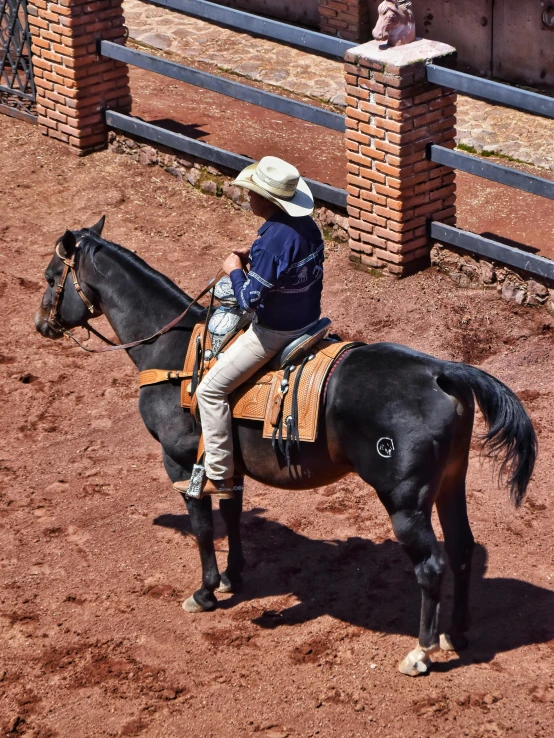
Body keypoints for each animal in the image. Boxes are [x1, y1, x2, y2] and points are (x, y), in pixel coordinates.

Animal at [34, 218, 536, 672]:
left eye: (51, 276)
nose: (41, 324)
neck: (173, 353)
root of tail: (440, 372)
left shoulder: (178, 460)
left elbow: (202, 525)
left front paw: (204, 591)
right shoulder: (227, 463)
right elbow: (231, 513)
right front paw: (232, 578)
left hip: (405, 502)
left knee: (431, 565)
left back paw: (421, 652)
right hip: (451, 484)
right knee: (462, 548)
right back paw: (457, 633)